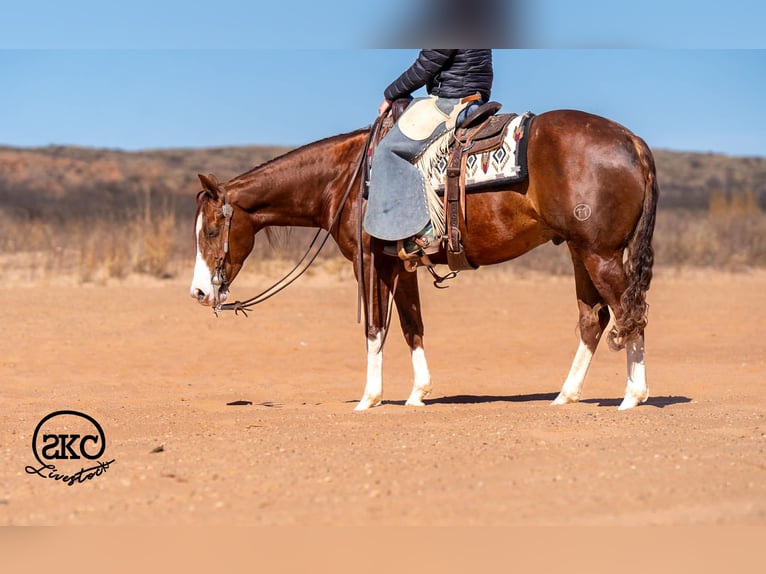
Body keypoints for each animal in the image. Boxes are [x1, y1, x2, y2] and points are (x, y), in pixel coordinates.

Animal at [190, 109, 658, 411]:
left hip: (599, 253)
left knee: (629, 314)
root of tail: (632, 142)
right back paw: (565, 395)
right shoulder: (400, 264)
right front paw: (418, 394)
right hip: (581, 252)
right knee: (594, 319)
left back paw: (632, 397)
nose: (198, 292)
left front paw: (369, 398)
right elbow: (411, 325)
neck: (344, 180)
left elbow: (375, 328)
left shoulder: (369, 262)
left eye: (211, 231)